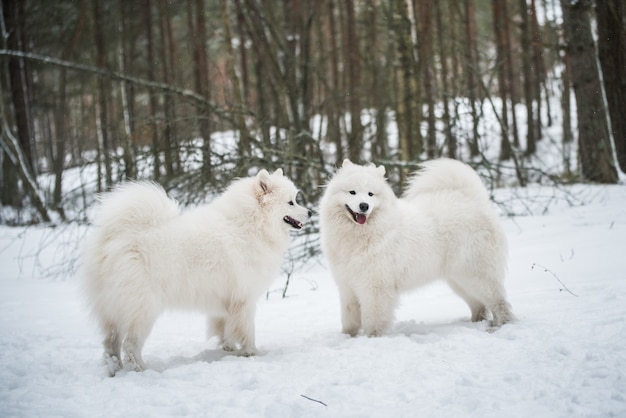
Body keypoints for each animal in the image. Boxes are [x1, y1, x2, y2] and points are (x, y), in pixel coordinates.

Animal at [80, 170, 310, 376]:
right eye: (291, 202)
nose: (310, 212)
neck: (250, 224)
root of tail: (116, 238)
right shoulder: (244, 300)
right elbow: (247, 330)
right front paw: (253, 353)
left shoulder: (225, 302)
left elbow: (224, 329)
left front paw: (228, 350)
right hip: (143, 309)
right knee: (129, 345)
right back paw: (142, 370)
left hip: (114, 311)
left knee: (110, 344)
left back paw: (115, 369)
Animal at [316, 159, 512, 336]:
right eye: (352, 192)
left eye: (371, 194)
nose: (364, 206)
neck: (359, 235)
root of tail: (472, 199)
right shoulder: (347, 286)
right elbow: (349, 318)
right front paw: (347, 337)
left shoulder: (375, 288)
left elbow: (373, 319)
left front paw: (373, 338)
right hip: (459, 279)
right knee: (479, 305)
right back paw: (476, 323)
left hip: (476, 275)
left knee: (499, 303)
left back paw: (499, 326)